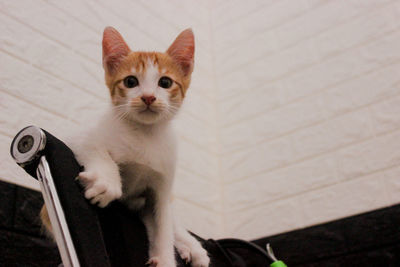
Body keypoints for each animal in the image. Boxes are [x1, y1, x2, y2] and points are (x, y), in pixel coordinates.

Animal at [42, 27, 211, 267]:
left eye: (165, 82)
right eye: (131, 81)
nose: (148, 97)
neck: (144, 134)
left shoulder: (162, 186)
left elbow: (164, 225)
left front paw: (166, 258)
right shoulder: (76, 137)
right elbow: (94, 147)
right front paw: (106, 183)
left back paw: (192, 247)